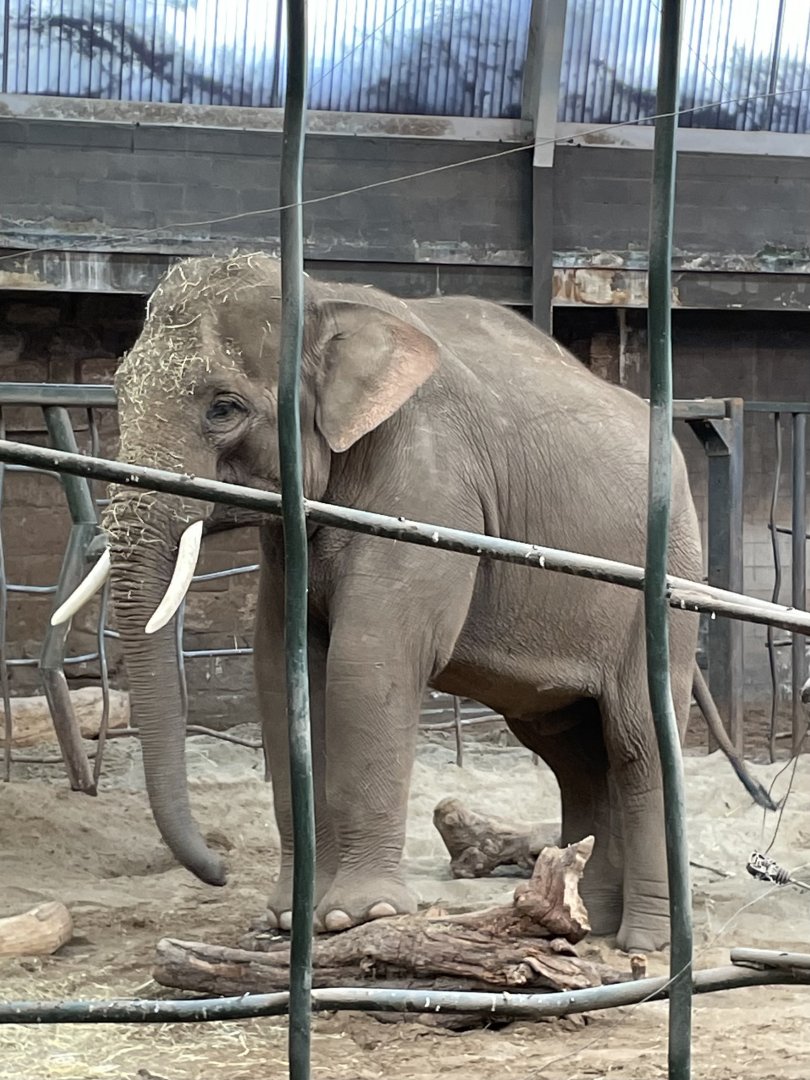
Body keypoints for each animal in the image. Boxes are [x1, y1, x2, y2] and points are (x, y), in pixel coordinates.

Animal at [54, 251, 772, 954]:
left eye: (223, 408)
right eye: (117, 391)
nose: (220, 869)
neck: (328, 296)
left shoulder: (431, 485)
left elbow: (369, 662)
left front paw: (356, 916)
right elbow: (281, 668)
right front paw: (290, 918)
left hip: (668, 578)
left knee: (636, 741)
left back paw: (642, 942)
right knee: (573, 749)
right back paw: (584, 921)